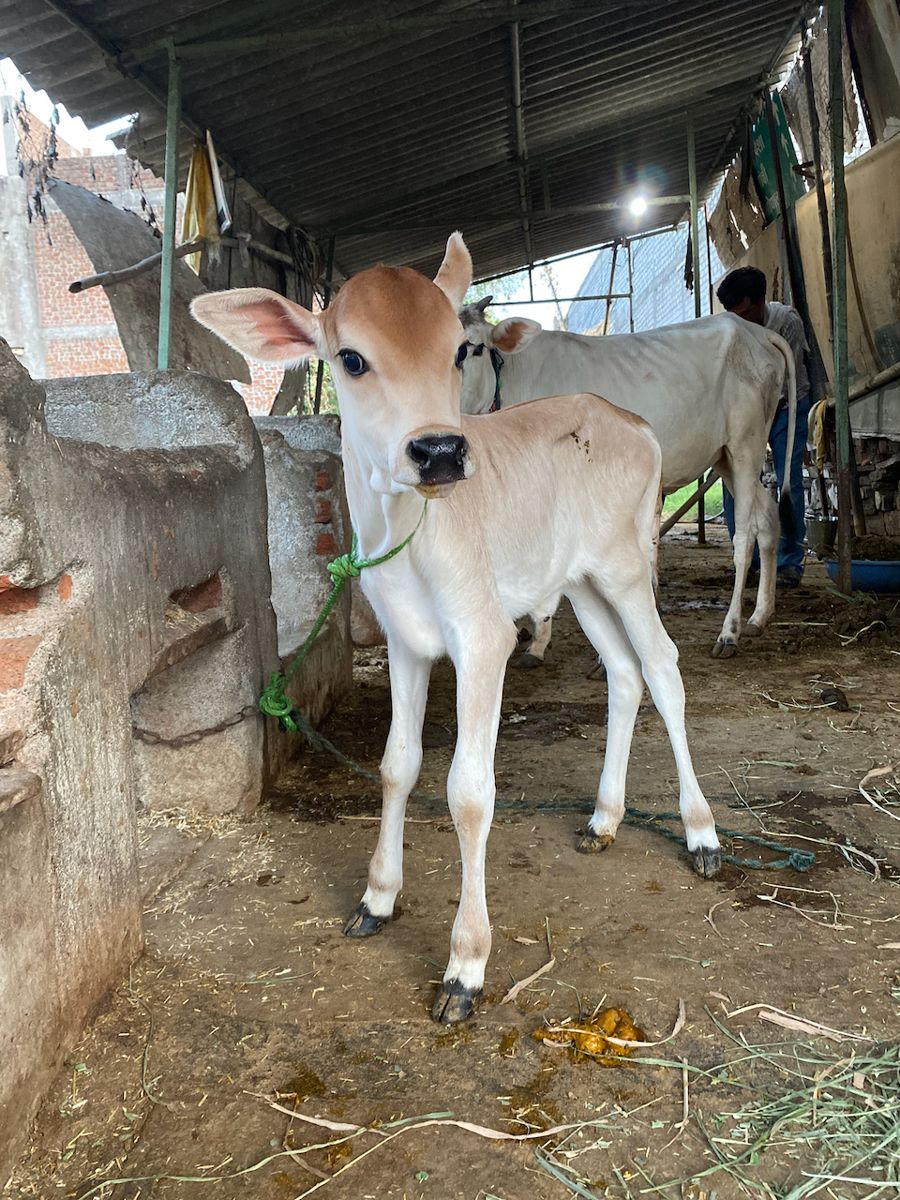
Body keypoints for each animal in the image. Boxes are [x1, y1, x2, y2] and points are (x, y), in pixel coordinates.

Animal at [191, 233, 721, 1024]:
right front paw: (378, 898)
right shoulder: (406, 642)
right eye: (351, 359)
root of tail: (626, 419)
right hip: (579, 582)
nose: (440, 452)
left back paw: (701, 831)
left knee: (662, 667)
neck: (407, 532)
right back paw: (603, 818)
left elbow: (469, 792)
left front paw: (465, 964)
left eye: (456, 352)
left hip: (627, 566)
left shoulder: (482, 638)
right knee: (625, 674)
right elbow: (396, 765)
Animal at [457, 298, 797, 662]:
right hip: (725, 458)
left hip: (746, 446)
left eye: (474, 348)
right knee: (768, 519)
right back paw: (759, 616)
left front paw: (538, 642)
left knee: (745, 537)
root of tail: (754, 331)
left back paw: (729, 632)